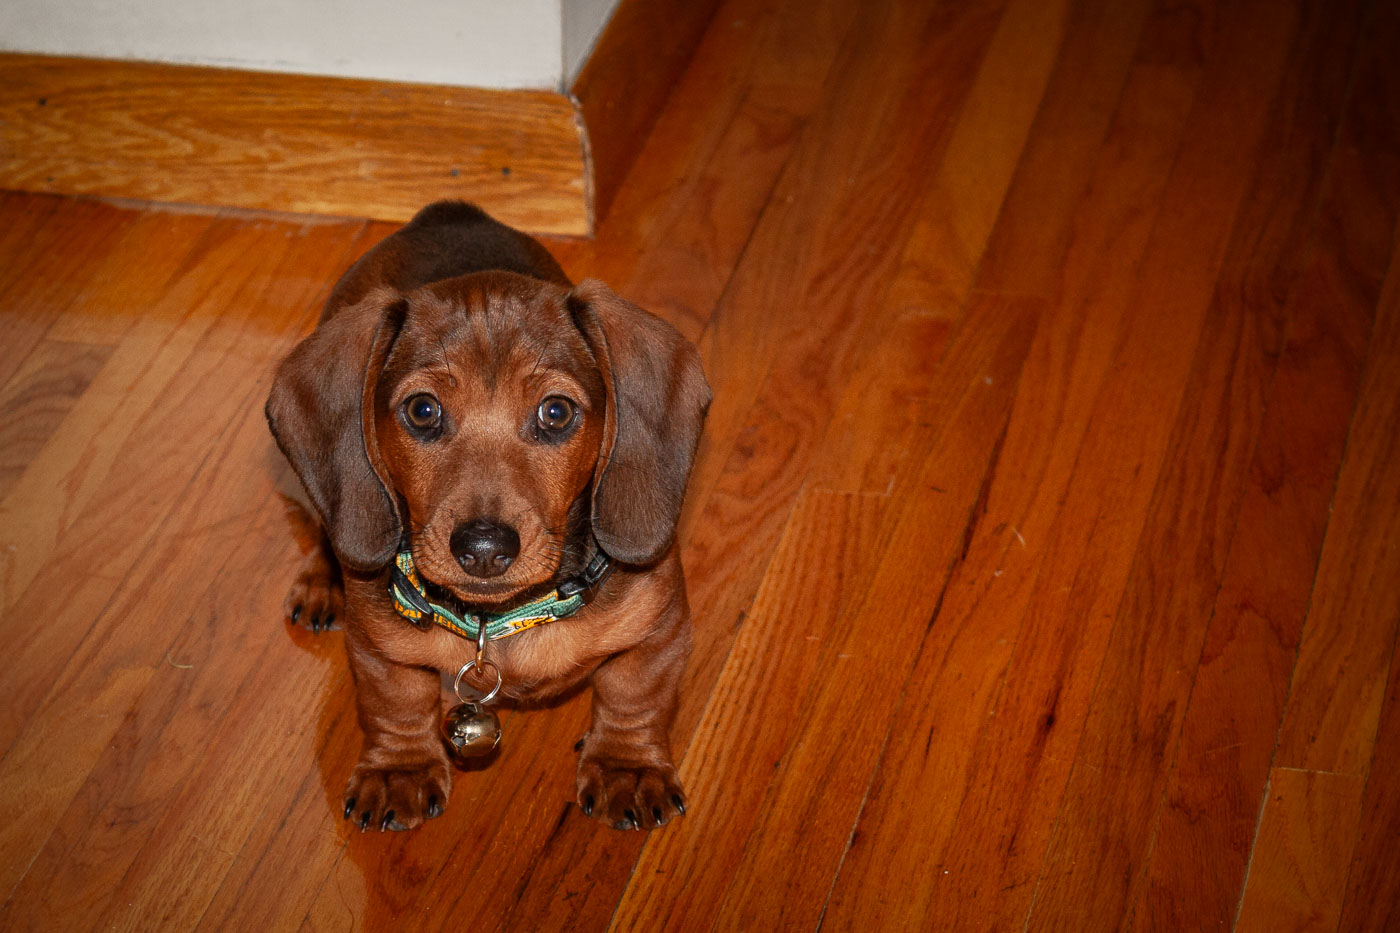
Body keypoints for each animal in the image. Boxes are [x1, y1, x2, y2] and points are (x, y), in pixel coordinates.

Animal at [264, 201, 711, 829]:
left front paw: (628, 767)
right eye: (422, 411)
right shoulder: (375, 645)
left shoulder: (662, 625)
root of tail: (448, 211)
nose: (482, 549)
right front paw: (398, 769)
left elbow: (634, 693)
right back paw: (319, 582)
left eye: (556, 412)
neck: (497, 622)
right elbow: (395, 701)